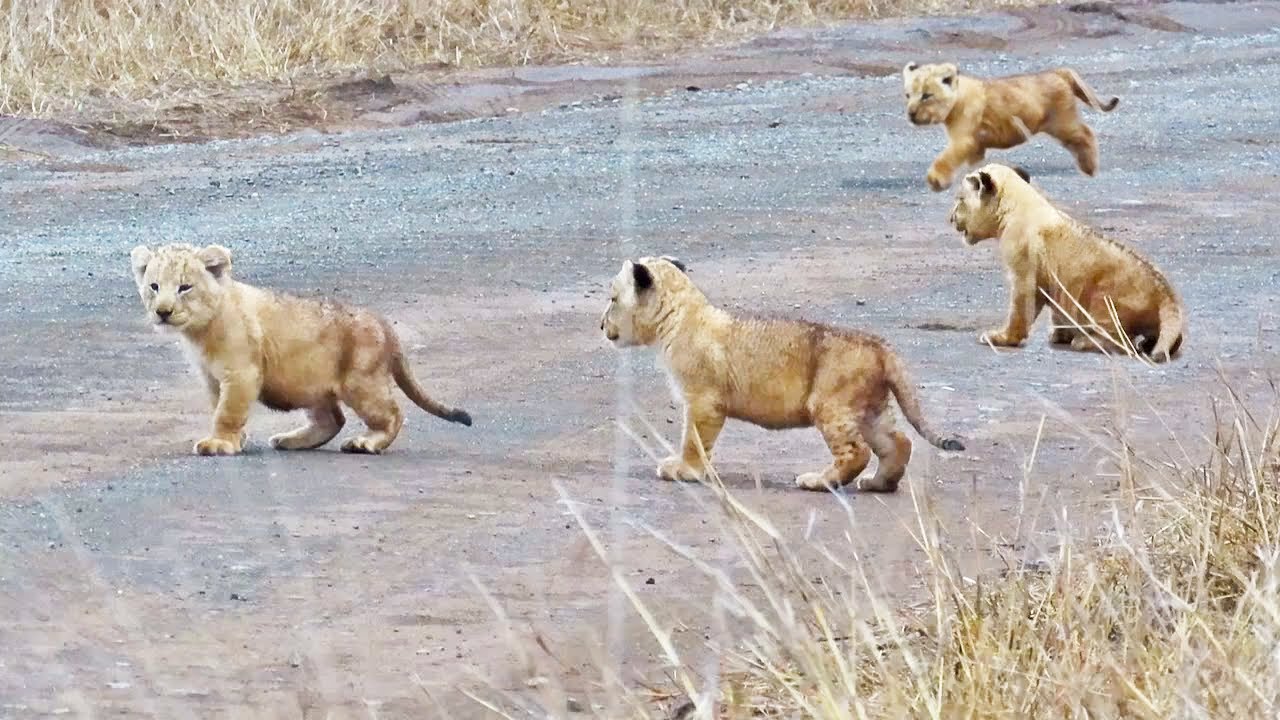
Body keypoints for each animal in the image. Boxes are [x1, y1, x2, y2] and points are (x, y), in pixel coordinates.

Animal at [129, 243, 472, 456]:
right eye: (154, 286)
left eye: (184, 287)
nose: (163, 312)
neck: (200, 331)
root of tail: (385, 324)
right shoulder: (212, 379)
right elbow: (219, 408)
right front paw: (235, 439)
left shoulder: (241, 373)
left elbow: (227, 412)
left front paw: (219, 444)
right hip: (310, 383)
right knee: (332, 419)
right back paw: (289, 440)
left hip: (362, 381)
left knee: (392, 414)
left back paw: (366, 443)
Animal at [600, 256, 964, 493]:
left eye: (613, 299)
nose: (601, 325)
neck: (680, 314)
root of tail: (881, 346)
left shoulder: (704, 401)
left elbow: (694, 440)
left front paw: (684, 470)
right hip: (869, 408)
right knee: (899, 442)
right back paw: (878, 484)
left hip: (831, 405)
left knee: (856, 451)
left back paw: (819, 481)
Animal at [902, 62, 1119, 191]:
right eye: (908, 95)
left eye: (926, 95)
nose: (911, 114)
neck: (957, 99)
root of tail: (1059, 72)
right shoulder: (976, 145)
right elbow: (977, 164)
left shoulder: (963, 140)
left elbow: (945, 159)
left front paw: (936, 180)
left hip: (1062, 122)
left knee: (1086, 134)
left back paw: (1089, 168)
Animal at [948, 164, 1185, 362]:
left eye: (960, 199)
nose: (950, 218)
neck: (1017, 203)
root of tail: (1166, 295)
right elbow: (1057, 313)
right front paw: (1059, 334)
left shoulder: (1025, 273)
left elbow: (1020, 310)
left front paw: (1001, 338)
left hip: (1103, 299)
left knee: (1120, 340)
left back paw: (1085, 341)